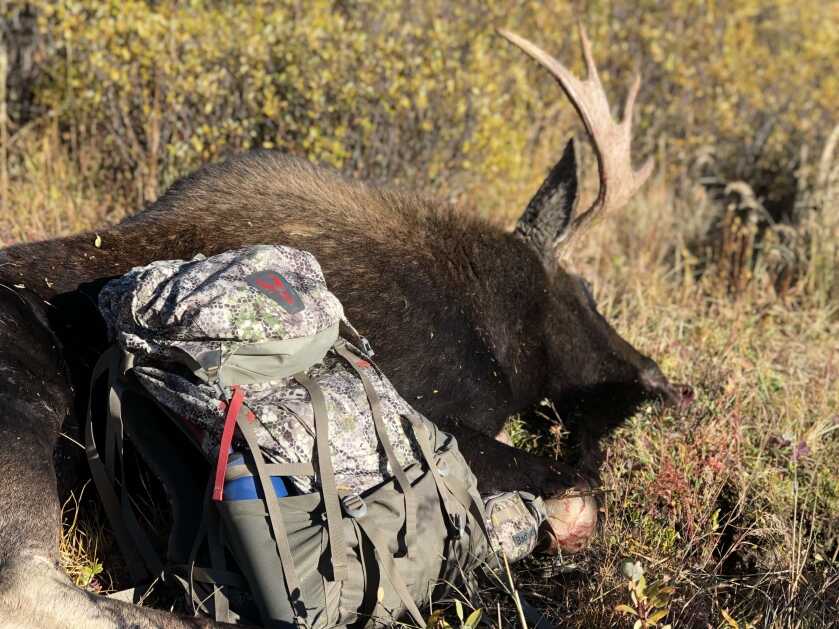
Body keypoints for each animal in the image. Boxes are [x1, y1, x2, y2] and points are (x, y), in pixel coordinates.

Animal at [0, 26, 691, 627]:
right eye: (587, 292)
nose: (664, 380)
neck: (489, 323)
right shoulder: (438, 416)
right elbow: (579, 493)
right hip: (25, 418)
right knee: (35, 591)